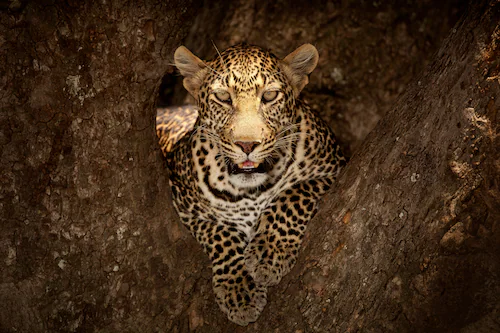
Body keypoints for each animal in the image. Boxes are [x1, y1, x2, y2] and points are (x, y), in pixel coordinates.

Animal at [157, 42, 348, 326]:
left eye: (269, 96)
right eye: (223, 97)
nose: (247, 145)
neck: (250, 191)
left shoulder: (334, 168)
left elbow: (292, 195)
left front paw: (269, 253)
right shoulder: (184, 206)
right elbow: (220, 234)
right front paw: (240, 290)